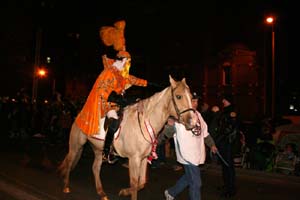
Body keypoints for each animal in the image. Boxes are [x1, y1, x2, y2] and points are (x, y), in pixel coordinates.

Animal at [57, 75, 198, 200]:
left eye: (191, 97)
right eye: (178, 96)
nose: (193, 122)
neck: (144, 122)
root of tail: (79, 114)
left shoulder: (143, 158)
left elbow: (142, 183)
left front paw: (124, 192)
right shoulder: (134, 159)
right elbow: (135, 184)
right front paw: (128, 192)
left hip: (98, 149)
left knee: (95, 168)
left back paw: (101, 193)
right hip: (76, 145)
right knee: (69, 162)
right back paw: (66, 187)